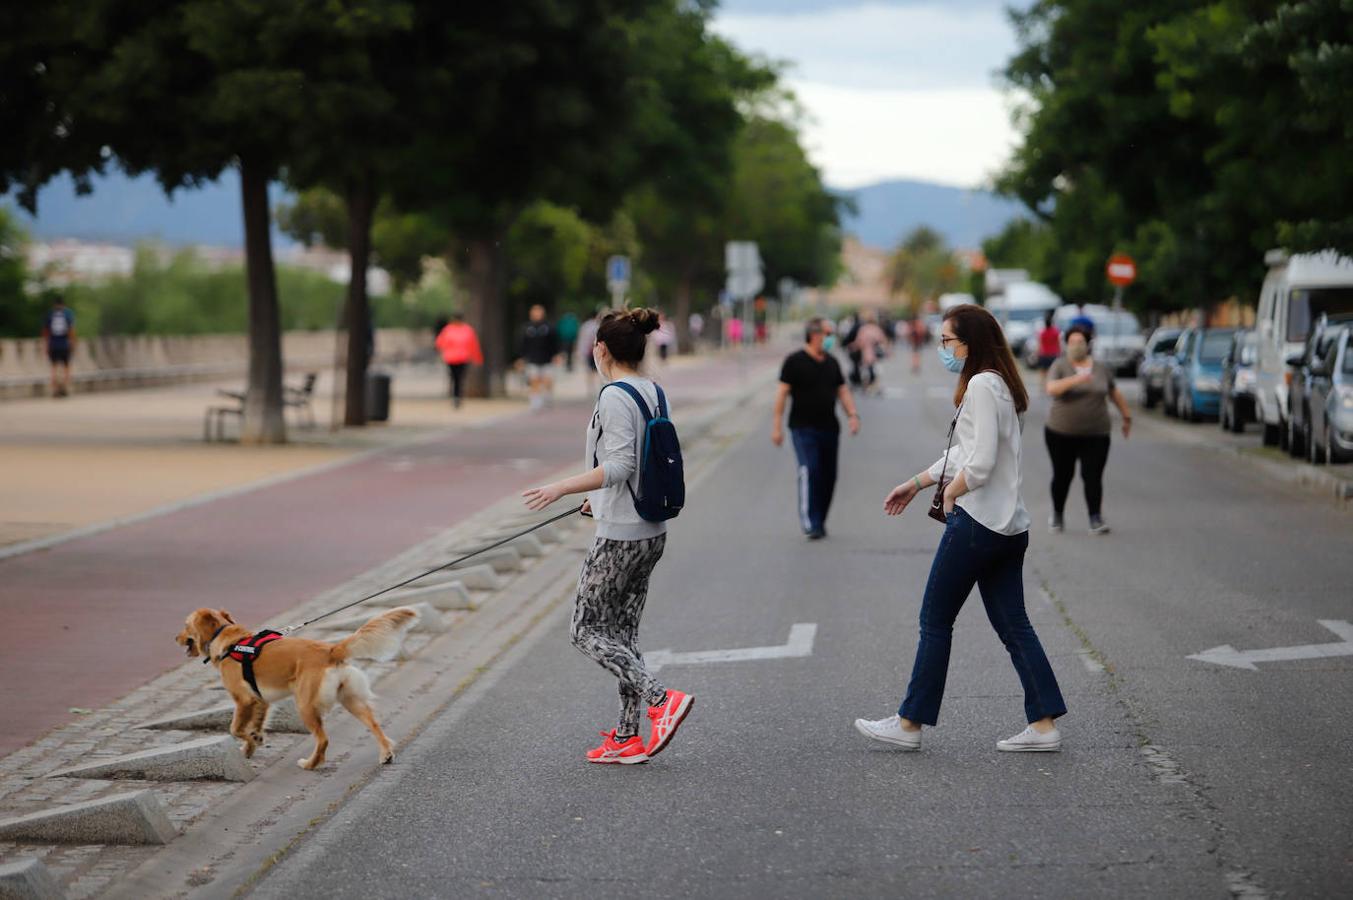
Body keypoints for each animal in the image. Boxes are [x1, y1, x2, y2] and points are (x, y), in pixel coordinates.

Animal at [177, 603, 416, 763]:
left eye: (186, 625)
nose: (175, 638)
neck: (229, 641)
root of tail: (330, 650)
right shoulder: (260, 701)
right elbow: (256, 724)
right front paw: (251, 746)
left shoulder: (243, 700)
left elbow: (235, 728)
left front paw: (252, 740)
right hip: (351, 700)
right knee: (374, 725)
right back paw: (385, 753)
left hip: (305, 705)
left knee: (323, 739)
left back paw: (310, 764)